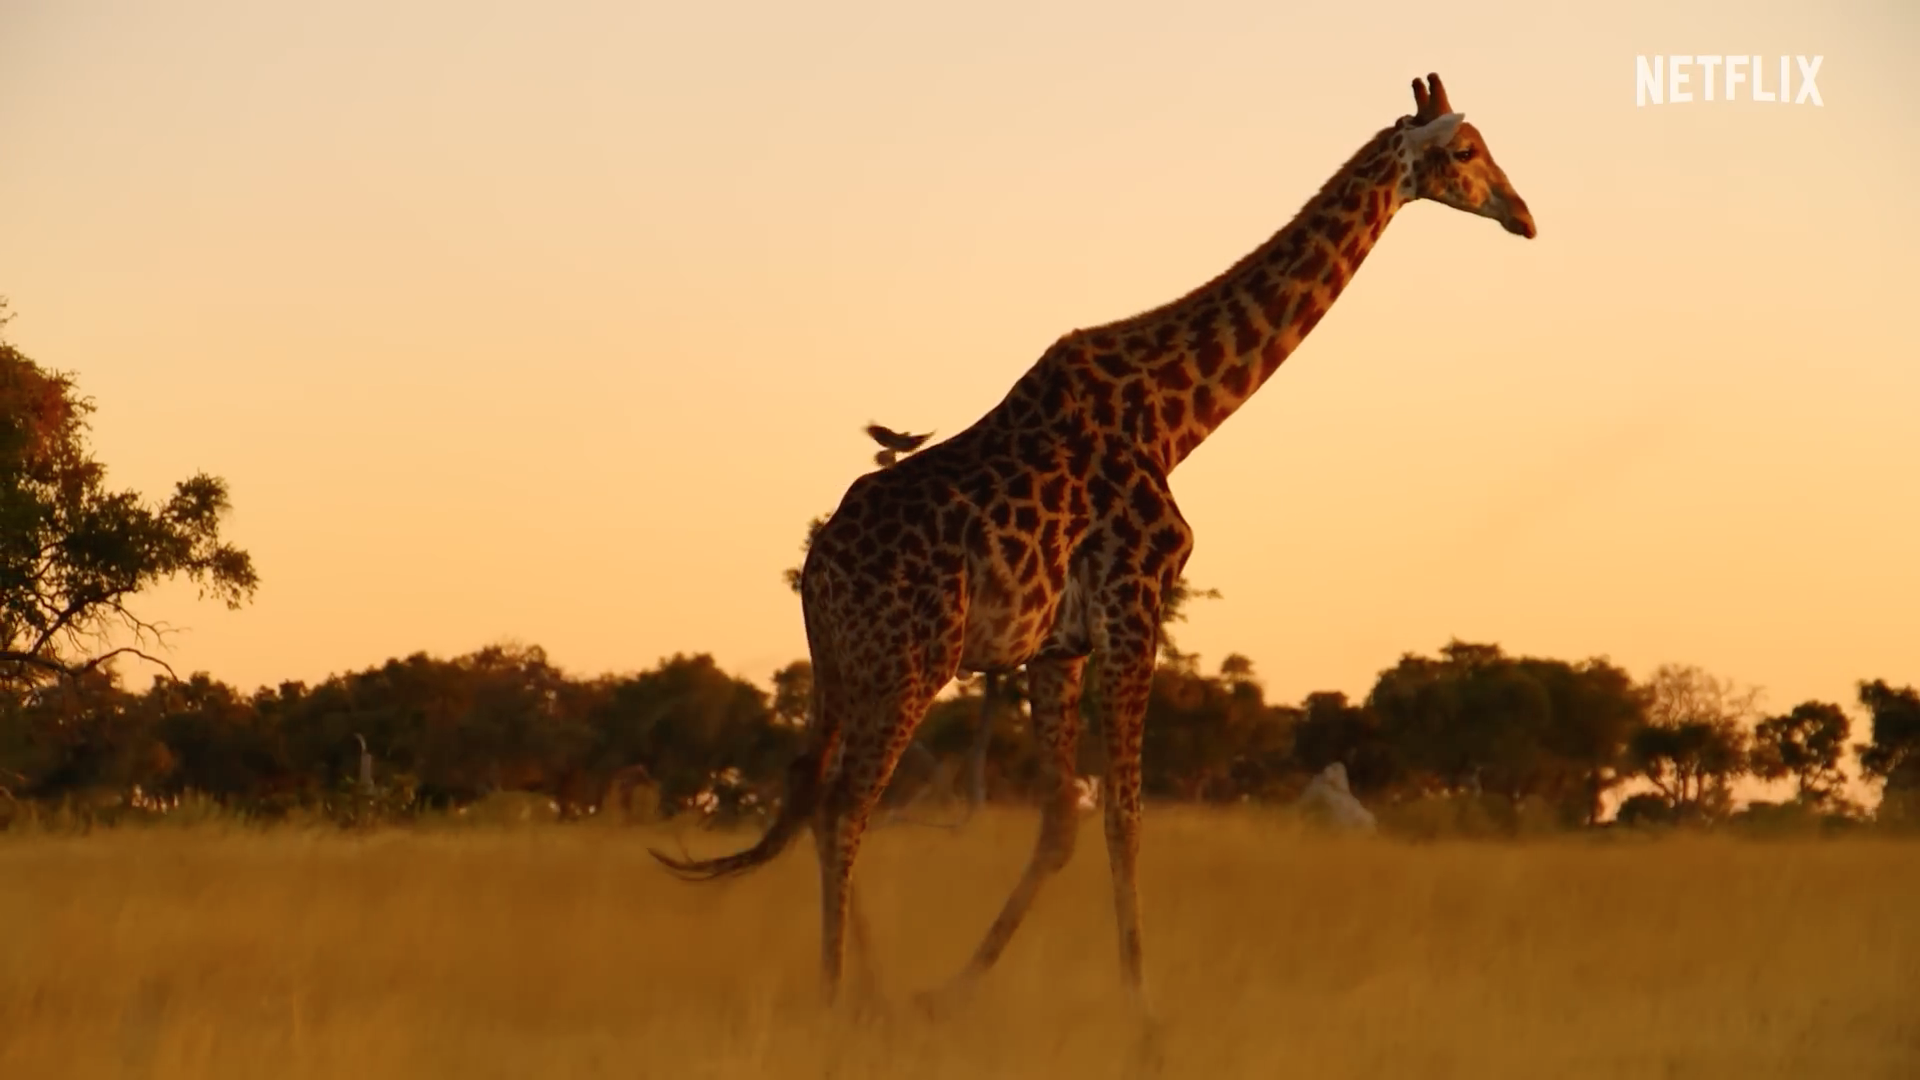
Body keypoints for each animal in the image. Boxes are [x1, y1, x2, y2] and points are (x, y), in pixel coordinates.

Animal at [653, 73, 1536, 1012]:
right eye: (1466, 150)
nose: (1523, 214)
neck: (1178, 417)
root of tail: (815, 576)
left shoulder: (1057, 646)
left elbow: (1059, 828)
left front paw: (955, 990)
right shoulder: (1133, 603)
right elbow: (1123, 817)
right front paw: (1141, 1007)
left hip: (850, 672)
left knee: (820, 797)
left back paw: (876, 990)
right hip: (911, 662)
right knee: (847, 806)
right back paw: (836, 996)